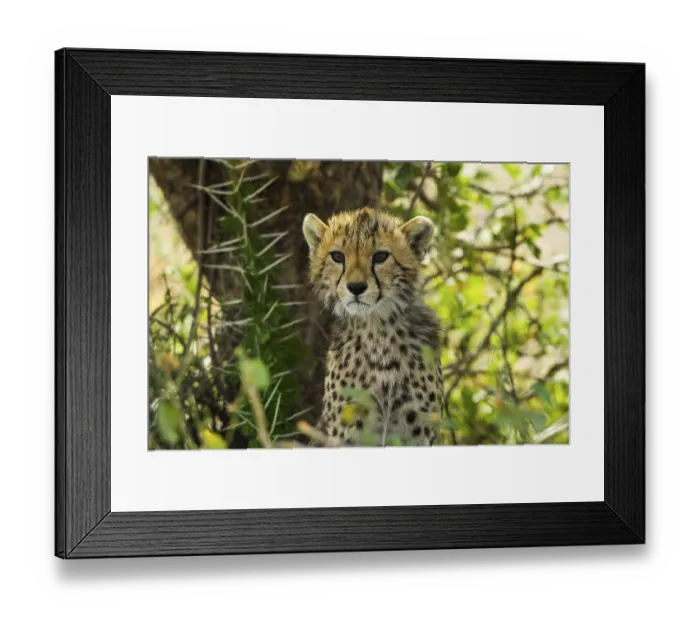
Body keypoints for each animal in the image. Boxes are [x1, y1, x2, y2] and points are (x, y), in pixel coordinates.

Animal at [302, 206, 444, 447]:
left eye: (380, 257)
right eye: (337, 256)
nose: (356, 287)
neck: (377, 330)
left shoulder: (418, 432)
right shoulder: (348, 431)